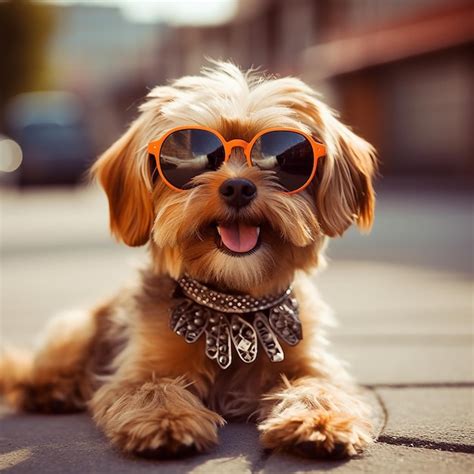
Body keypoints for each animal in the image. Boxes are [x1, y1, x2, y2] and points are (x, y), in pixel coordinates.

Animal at [0, 62, 378, 460]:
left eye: (289, 156)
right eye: (193, 154)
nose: (238, 187)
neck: (232, 298)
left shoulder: (309, 360)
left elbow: (320, 386)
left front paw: (320, 420)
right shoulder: (139, 368)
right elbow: (153, 387)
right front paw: (167, 421)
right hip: (74, 328)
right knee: (35, 373)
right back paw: (54, 390)